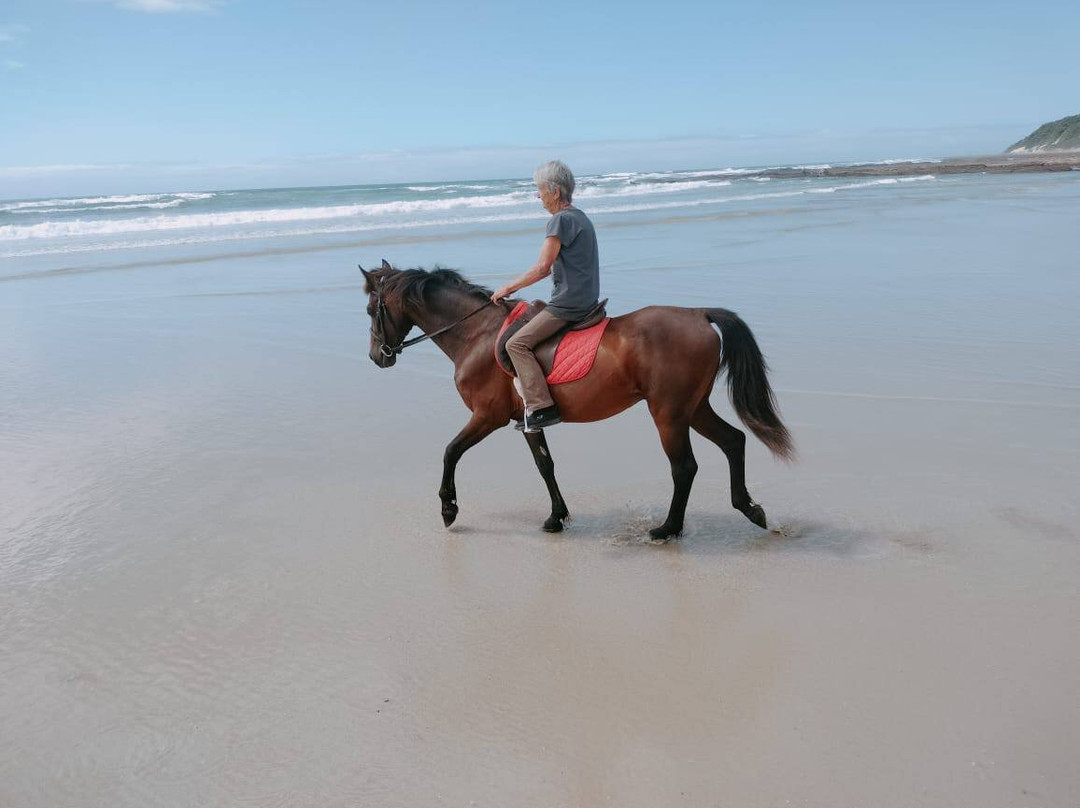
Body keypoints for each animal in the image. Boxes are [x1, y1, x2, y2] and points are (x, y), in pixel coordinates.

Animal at [361, 259, 793, 541]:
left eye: (369, 309)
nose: (377, 356)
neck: (477, 334)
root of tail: (699, 314)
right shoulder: (528, 420)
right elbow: (545, 465)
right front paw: (557, 518)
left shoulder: (488, 416)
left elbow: (451, 451)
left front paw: (448, 508)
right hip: (694, 407)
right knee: (733, 441)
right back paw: (750, 510)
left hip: (668, 412)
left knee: (684, 467)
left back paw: (668, 529)